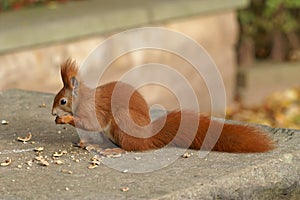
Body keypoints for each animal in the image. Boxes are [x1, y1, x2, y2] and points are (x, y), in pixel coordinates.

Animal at [52, 59, 274, 153]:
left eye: (63, 101)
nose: (52, 112)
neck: (81, 98)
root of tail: (147, 136)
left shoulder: (92, 110)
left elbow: (90, 123)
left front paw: (66, 118)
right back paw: (93, 144)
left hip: (122, 122)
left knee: (131, 148)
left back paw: (112, 151)